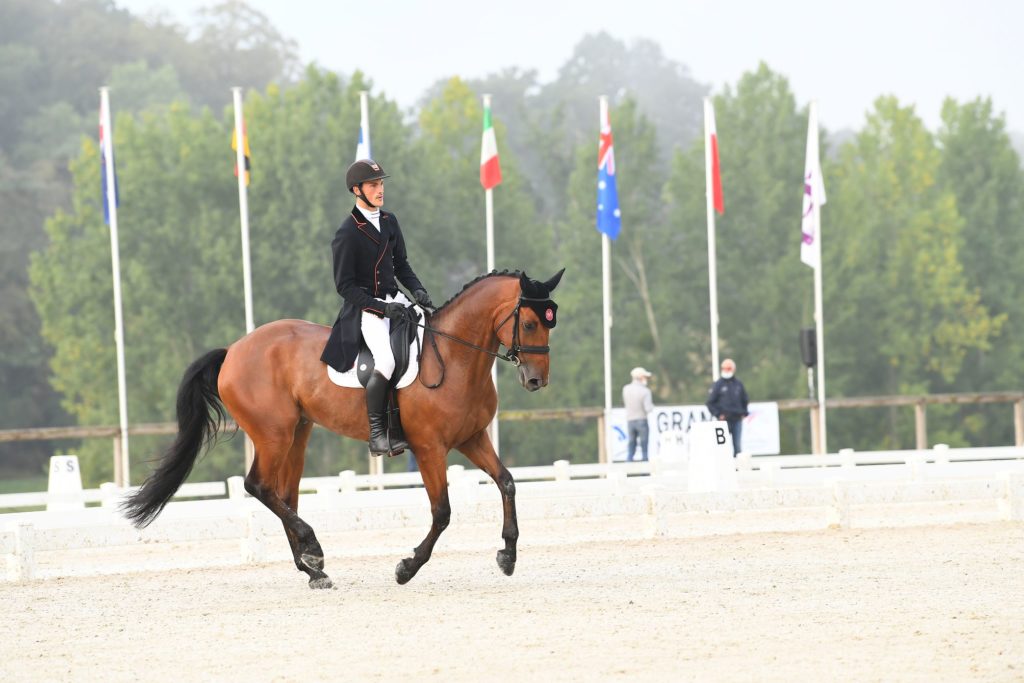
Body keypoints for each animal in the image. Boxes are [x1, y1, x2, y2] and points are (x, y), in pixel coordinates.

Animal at [124, 270, 569, 589]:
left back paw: (312, 568)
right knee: (259, 486)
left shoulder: (472, 438)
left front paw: (508, 556)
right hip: (273, 433)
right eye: (531, 324)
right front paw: (407, 567)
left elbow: (507, 482)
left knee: (285, 494)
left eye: (550, 324)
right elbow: (442, 512)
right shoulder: (429, 448)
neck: (455, 358)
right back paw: (314, 552)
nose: (536, 380)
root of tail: (234, 350)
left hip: (299, 432)